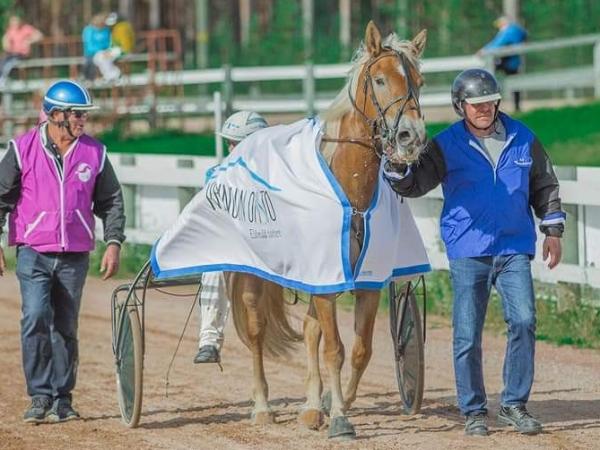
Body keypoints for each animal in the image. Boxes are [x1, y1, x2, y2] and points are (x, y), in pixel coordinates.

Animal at [225, 21, 427, 439]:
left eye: (419, 81)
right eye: (380, 79)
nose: (411, 136)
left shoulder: (365, 284)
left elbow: (360, 349)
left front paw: (337, 402)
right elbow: (334, 348)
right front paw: (339, 418)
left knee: (310, 330)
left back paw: (310, 406)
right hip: (252, 276)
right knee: (256, 330)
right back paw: (262, 406)